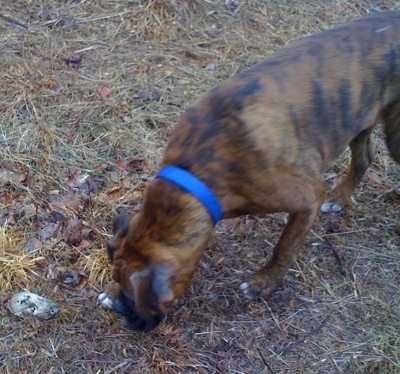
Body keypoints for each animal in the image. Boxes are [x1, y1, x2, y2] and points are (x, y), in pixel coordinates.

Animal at [98, 11, 400, 332]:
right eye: (120, 285)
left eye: (137, 299)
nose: (124, 315)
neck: (198, 172)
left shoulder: (307, 199)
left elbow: (284, 247)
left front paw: (264, 282)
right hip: (359, 120)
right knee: (363, 159)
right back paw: (340, 198)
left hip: (393, 136)